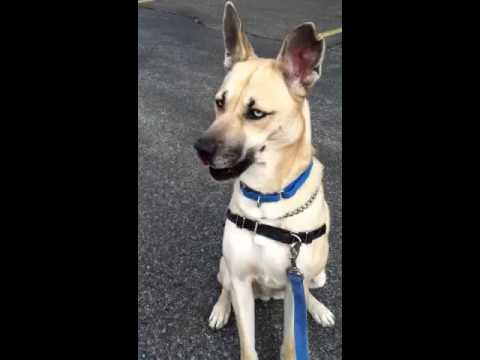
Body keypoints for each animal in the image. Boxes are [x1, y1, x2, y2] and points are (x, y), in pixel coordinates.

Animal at [194, 1, 334, 358]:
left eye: (255, 113)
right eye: (219, 102)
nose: (200, 149)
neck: (266, 200)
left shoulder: (295, 282)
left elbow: (290, 343)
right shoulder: (241, 280)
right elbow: (248, 343)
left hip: (315, 274)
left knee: (308, 292)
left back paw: (318, 308)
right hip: (226, 269)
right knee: (225, 287)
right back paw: (220, 309)